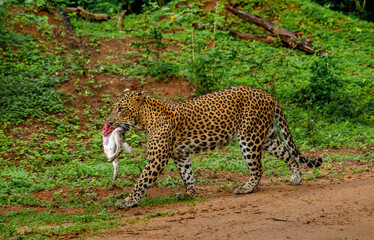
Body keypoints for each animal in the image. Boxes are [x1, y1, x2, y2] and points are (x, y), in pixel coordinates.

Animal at [107, 86, 322, 208]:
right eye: (113, 108)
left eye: (121, 109)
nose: (108, 122)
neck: (145, 119)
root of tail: (268, 95)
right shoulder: (180, 155)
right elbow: (187, 174)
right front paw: (189, 194)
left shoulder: (156, 159)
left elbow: (141, 182)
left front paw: (127, 201)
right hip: (267, 137)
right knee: (288, 153)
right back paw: (296, 177)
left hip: (248, 137)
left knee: (258, 167)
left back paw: (247, 188)